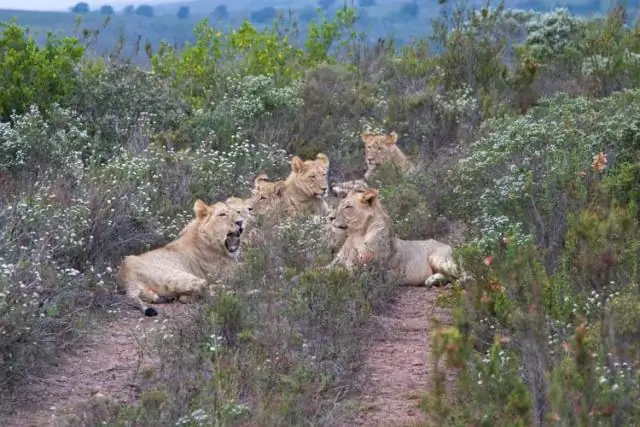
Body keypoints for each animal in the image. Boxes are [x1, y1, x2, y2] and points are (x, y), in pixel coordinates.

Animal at [116, 199, 244, 316]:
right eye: (222, 214)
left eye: (237, 212)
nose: (240, 222)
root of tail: (125, 276)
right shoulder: (226, 271)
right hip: (175, 275)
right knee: (204, 287)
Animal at [330, 188, 460, 286]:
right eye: (339, 205)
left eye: (348, 207)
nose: (330, 217)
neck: (356, 235)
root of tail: (450, 246)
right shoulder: (335, 264)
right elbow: (327, 271)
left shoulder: (368, 270)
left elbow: (338, 274)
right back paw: (431, 280)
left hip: (438, 258)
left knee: (460, 272)